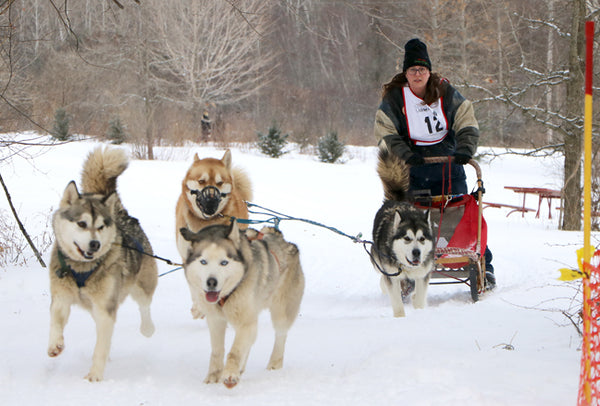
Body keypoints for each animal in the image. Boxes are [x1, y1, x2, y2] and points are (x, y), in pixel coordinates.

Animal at [47, 147, 157, 382]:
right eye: (82, 223)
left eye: (100, 226)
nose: (95, 244)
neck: (82, 270)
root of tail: (121, 214)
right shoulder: (61, 297)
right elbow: (56, 321)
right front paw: (55, 344)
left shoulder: (105, 308)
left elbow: (100, 347)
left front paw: (95, 375)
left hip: (141, 285)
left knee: (144, 306)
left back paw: (147, 328)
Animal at [179, 224, 304, 388]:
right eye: (203, 262)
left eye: (224, 262)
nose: (211, 282)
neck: (226, 296)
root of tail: (282, 239)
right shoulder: (216, 320)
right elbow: (217, 350)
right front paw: (213, 376)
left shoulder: (245, 322)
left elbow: (235, 351)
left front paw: (230, 374)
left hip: (281, 311)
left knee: (280, 335)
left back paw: (274, 363)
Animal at [370, 147, 436, 318]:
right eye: (407, 238)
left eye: (422, 238)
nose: (416, 253)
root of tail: (396, 200)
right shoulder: (392, 276)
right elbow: (397, 302)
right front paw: (400, 318)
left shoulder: (422, 274)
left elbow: (419, 297)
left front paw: (419, 309)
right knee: (383, 280)